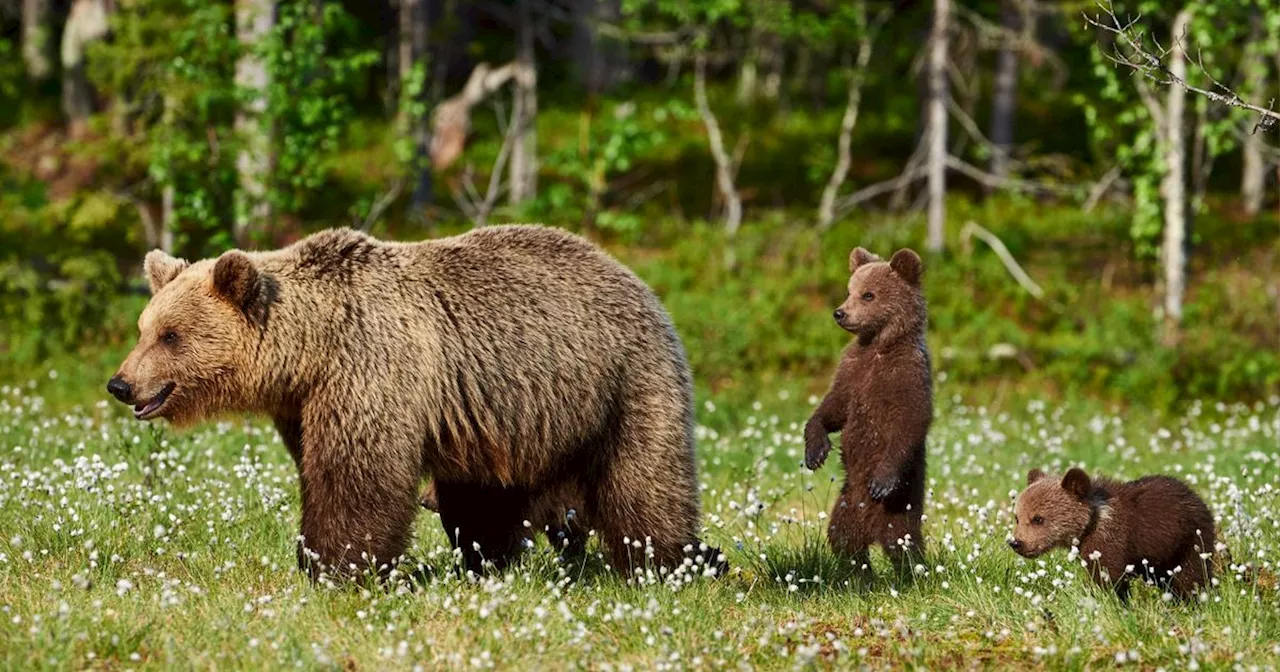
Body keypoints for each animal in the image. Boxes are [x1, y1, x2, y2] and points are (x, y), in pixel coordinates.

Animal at [798, 247, 931, 576]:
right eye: (850, 291)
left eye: (868, 295)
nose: (840, 312)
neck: (879, 345)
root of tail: (872, 529)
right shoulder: (853, 371)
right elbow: (833, 408)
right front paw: (816, 451)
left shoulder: (906, 376)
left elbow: (910, 422)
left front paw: (882, 481)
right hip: (845, 504)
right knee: (843, 540)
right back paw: (861, 575)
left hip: (901, 507)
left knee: (903, 544)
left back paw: (911, 575)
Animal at [1013, 465, 1213, 601]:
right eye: (1017, 517)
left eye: (1038, 519)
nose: (1016, 543)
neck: (1091, 522)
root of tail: (1196, 496)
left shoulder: (1109, 541)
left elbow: (1106, 575)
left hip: (1189, 541)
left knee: (1191, 575)